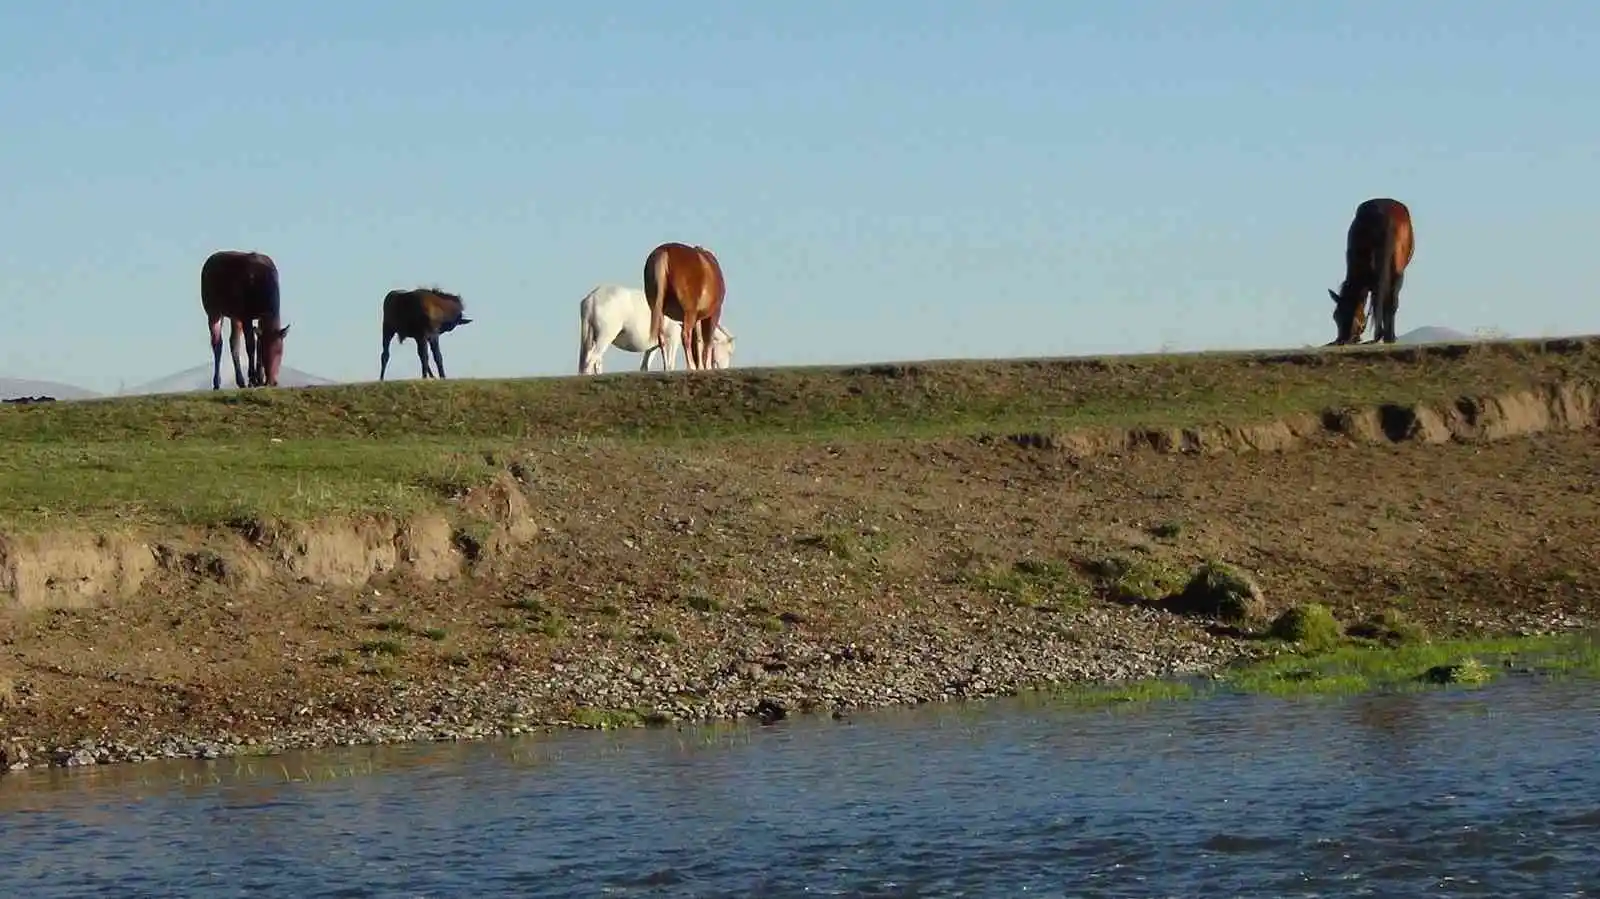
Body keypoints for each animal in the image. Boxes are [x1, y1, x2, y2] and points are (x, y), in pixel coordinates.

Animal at [200, 247, 291, 385]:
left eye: (280, 351)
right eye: (265, 353)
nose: (271, 381)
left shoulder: (257, 317)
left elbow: (256, 342)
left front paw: (259, 378)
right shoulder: (246, 315)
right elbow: (251, 345)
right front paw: (253, 379)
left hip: (234, 316)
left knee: (233, 343)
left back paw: (241, 381)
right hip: (214, 312)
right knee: (217, 343)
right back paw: (217, 382)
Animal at [576, 284, 736, 372]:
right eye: (729, 352)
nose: (725, 368)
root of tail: (592, 298)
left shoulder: (653, 346)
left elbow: (646, 367)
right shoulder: (672, 339)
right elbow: (670, 364)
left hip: (592, 337)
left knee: (595, 361)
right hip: (605, 336)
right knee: (591, 360)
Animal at [643, 239, 732, 369]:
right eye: (729, 352)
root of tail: (664, 252)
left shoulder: (697, 317)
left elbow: (698, 341)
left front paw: (701, 367)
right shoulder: (713, 314)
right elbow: (708, 341)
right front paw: (705, 367)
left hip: (658, 310)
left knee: (661, 338)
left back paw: (667, 368)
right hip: (689, 312)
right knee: (685, 335)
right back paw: (691, 366)